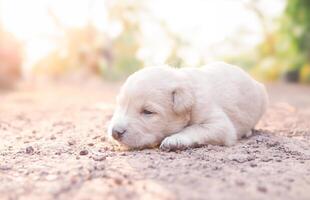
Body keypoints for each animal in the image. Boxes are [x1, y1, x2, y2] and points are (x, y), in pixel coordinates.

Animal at [108, 62, 268, 150]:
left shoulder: (219, 124)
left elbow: (196, 128)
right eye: (120, 105)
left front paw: (175, 140)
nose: (115, 132)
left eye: (148, 112)